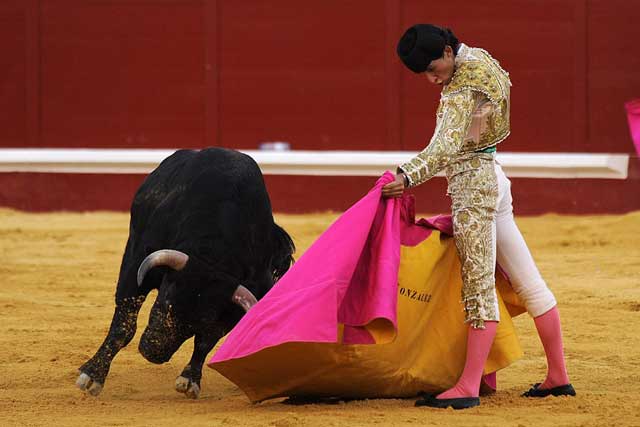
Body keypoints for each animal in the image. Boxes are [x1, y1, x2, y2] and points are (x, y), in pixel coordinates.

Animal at [75, 149, 296, 400]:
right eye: (164, 302)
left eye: (200, 321)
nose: (152, 352)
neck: (213, 257)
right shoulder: (136, 263)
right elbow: (124, 325)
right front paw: (92, 375)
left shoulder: (236, 304)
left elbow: (206, 341)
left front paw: (190, 379)